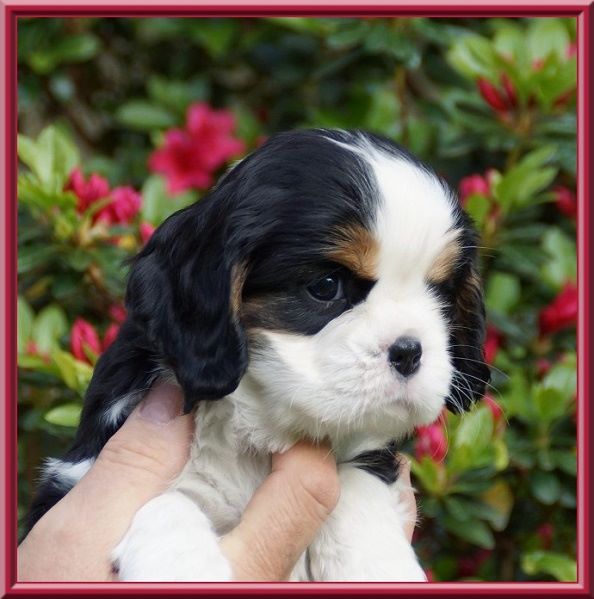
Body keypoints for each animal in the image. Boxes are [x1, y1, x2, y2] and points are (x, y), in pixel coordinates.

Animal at [25, 129, 489, 581]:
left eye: (441, 295)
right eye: (326, 286)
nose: (409, 351)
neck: (262, 431)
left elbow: (358, 478)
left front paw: (377, 564)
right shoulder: (73, 480)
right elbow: (169, 502)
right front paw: (182, 566)